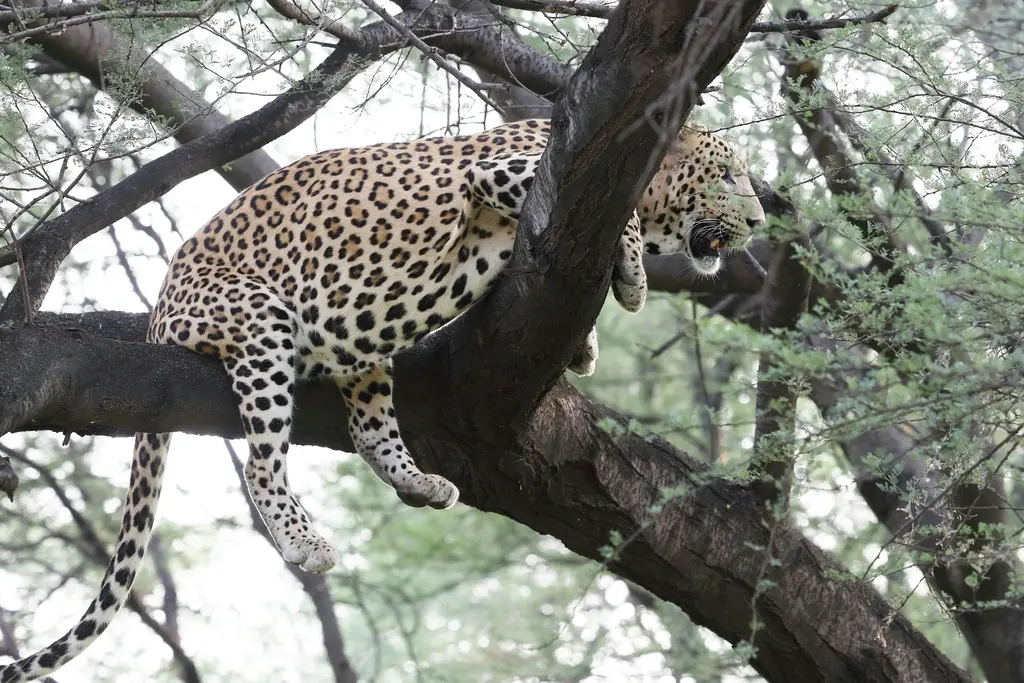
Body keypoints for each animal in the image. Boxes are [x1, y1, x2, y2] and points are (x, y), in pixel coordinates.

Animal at [0, 117, 764, 682]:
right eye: (727, 175)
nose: (758, 221)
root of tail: (160, 306)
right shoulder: (501, 171)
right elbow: (623, 221)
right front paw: (632, 277)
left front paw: (586, 346)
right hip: (260, 320)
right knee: (260, 461)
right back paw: (303, 539)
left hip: (363, 348)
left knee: (370, 429)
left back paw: (420, 481)